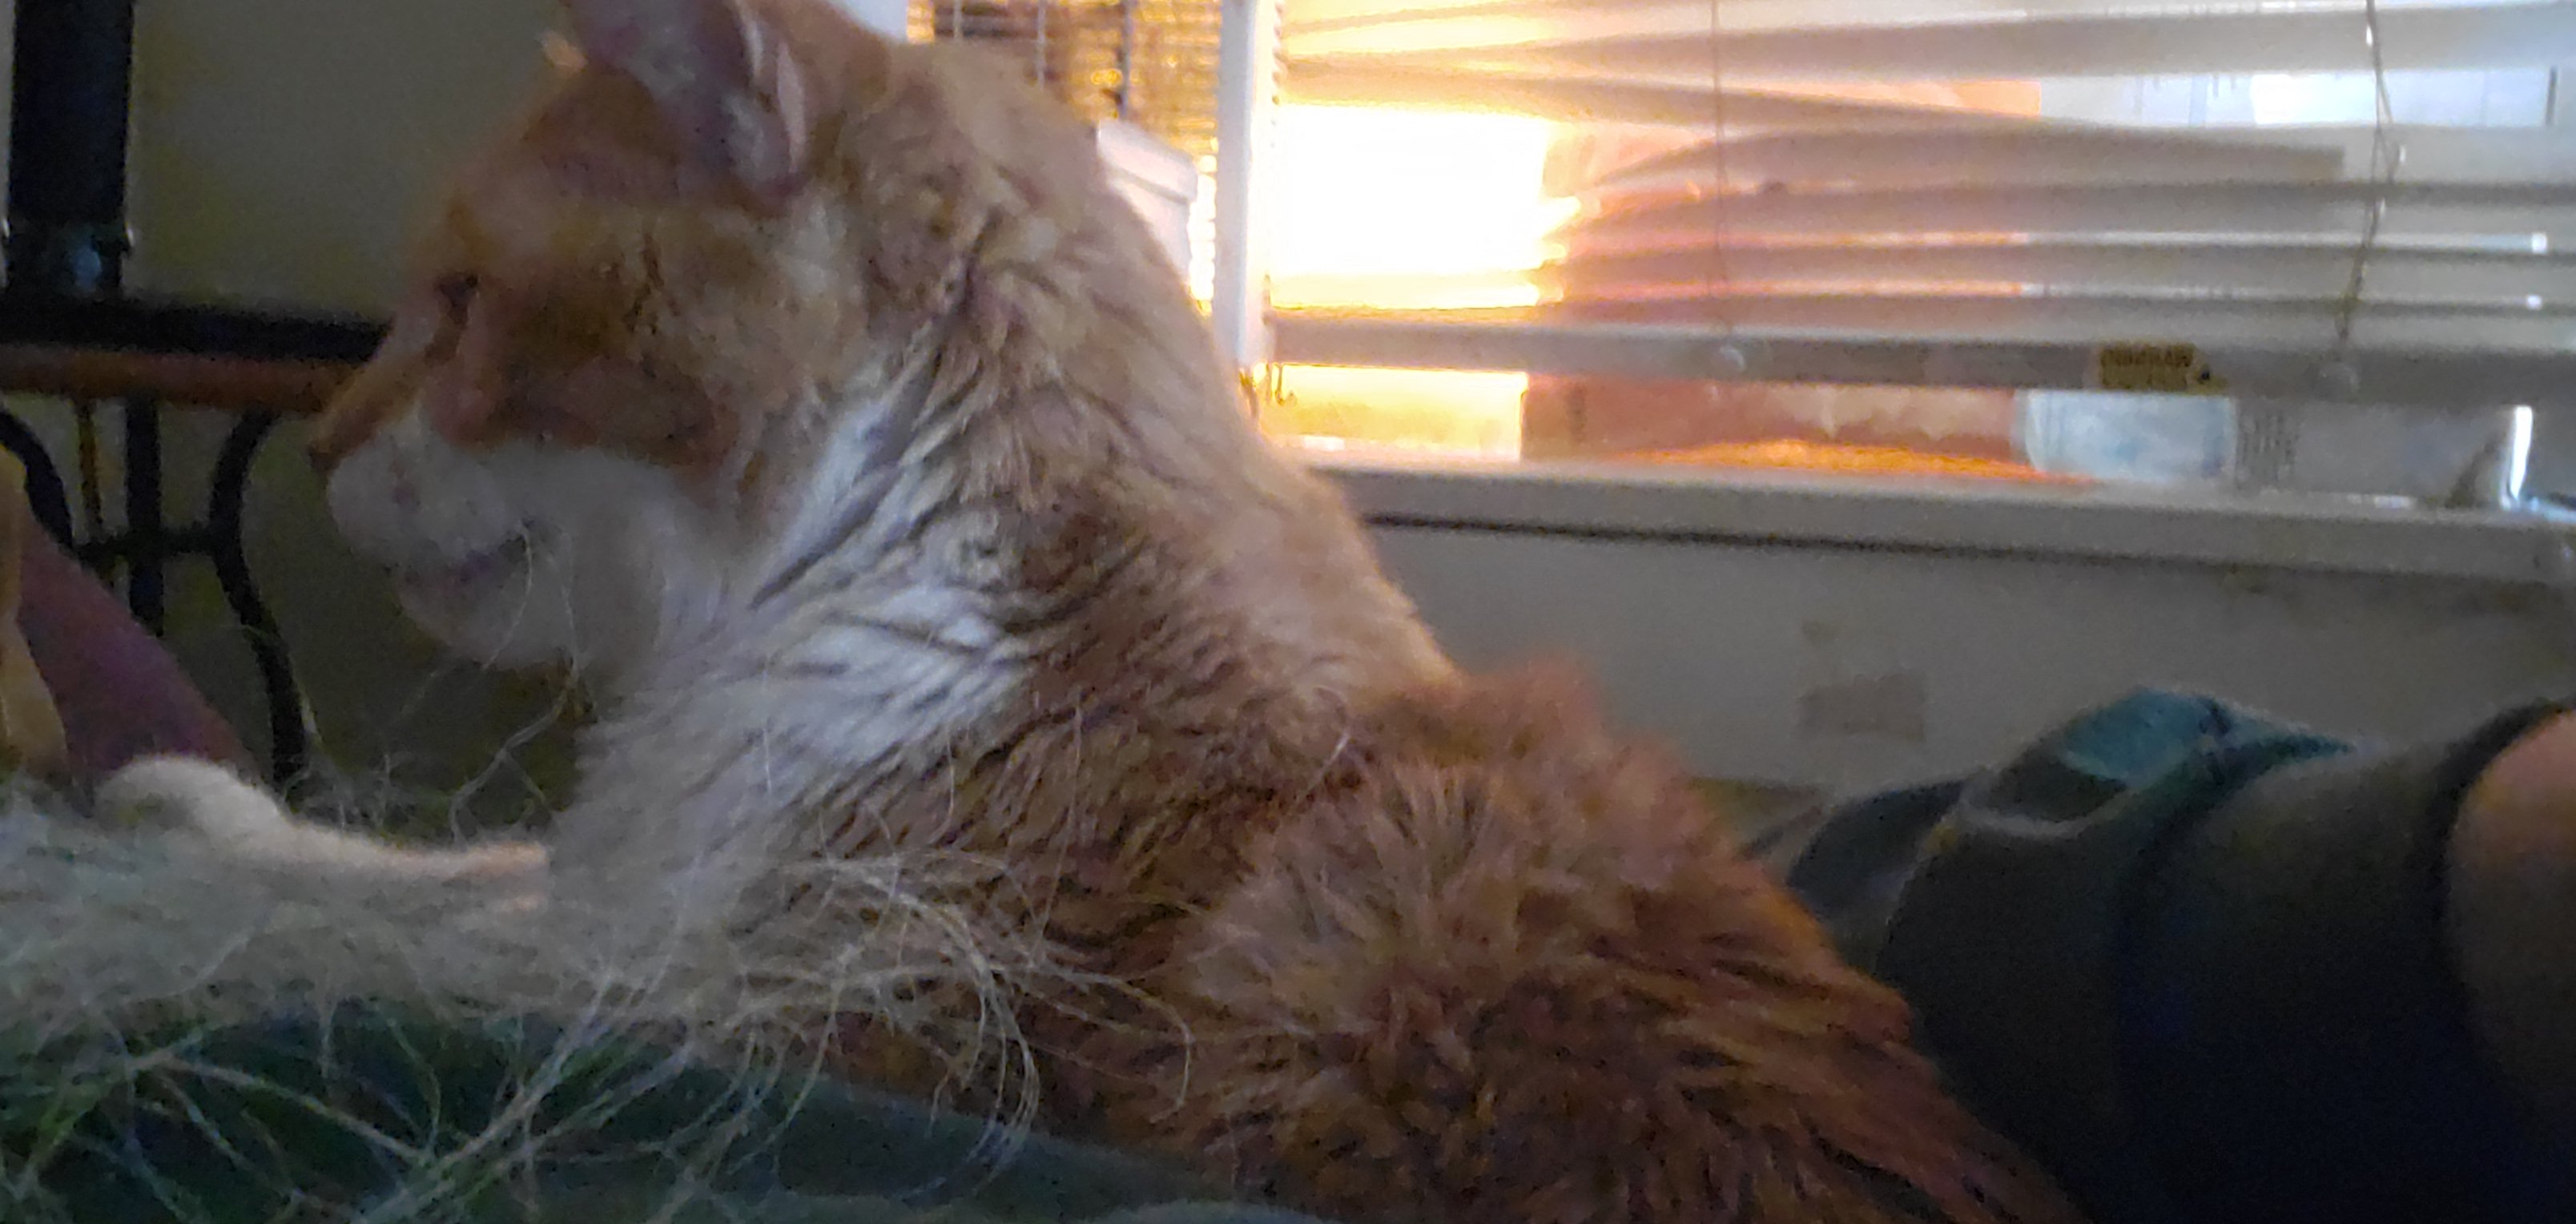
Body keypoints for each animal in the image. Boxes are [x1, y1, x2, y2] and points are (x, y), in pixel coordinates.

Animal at [98, 1, 2084, 1220]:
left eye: (455, 303)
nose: (319, 439)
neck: (887, 570)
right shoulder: (633, 887)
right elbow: (430, 861)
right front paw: (183, 800)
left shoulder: (728, 995)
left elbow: (346, 920)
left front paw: (138, 838)